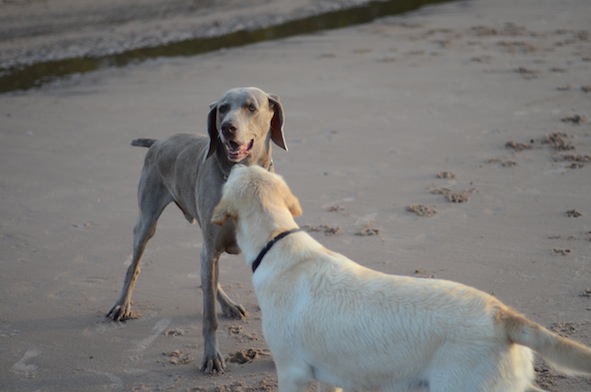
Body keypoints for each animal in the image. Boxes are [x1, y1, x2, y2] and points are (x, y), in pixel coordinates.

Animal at [108, 86, 290, 374]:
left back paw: (228, 304)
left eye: (251, 107)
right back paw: (121, 305)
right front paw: (212, 357)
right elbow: (208, 318)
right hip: (147, 220)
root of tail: (158, 142)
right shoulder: (212, 246)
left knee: (206, 272)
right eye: (223, 108)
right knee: (135, 264)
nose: (227, 128)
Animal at [212, 165, 591, 392]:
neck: (277, 241)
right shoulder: (329, 376)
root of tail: (502, 315)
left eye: (236, 175)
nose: (235, 161)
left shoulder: (292, 372)